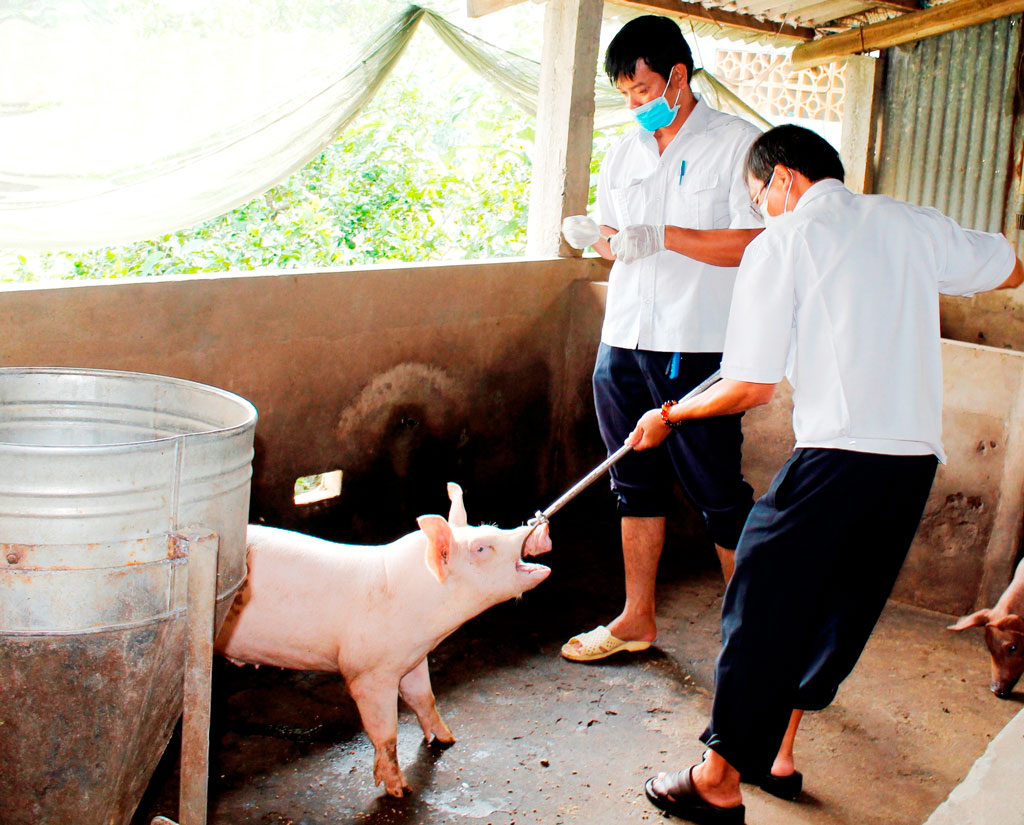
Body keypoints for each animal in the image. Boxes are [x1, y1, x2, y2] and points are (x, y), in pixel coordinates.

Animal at [212, 481, 552, 798]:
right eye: (481, 548)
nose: (532, 526)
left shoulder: (414, 658)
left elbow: (424, 698)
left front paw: (447, 739)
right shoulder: (368, 672)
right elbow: (385, 732)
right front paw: (400, 790)